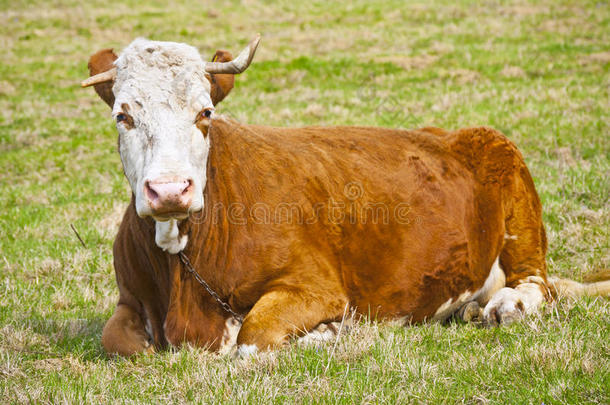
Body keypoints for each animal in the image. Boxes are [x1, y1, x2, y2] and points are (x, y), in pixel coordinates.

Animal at [82, 35, 608, 356]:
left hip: (517, 202)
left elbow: (252, 338)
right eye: (123, 116)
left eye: (205, 112)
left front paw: (325, 333)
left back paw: (505, 306)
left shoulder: (316, 287)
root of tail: (451, 133)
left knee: (538, 284)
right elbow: (118, 340)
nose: (170, 190)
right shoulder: (130, 300)